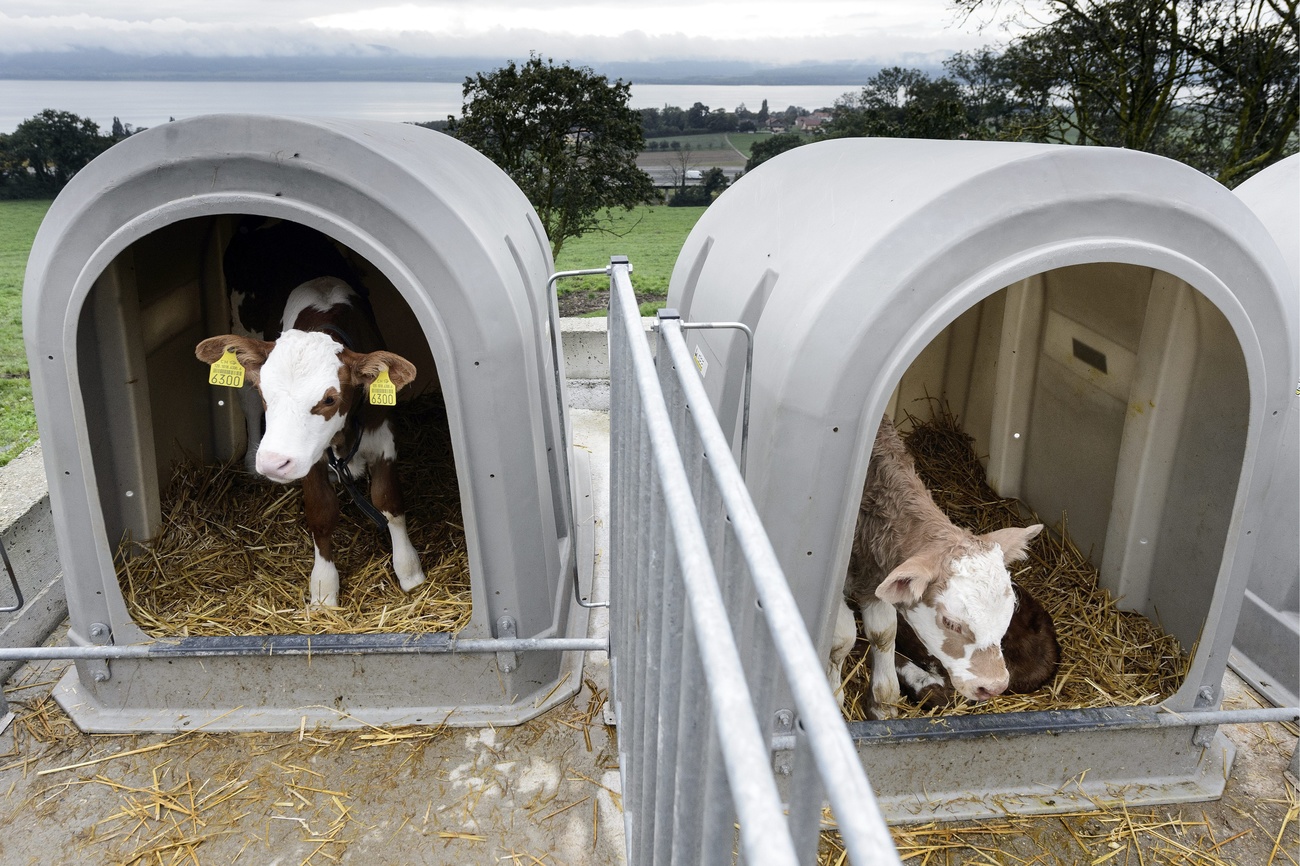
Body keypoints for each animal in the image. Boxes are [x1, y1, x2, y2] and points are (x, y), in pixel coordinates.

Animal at [195, 219, 423, 603]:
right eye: (268, 392)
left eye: (330, 399)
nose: (273, 462)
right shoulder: (309, 460)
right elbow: (320, 512)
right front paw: (324, 588)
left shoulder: (384, 436)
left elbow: (388, 502)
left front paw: (410, 573)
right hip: (242, 323)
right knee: (244, 399)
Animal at [832, 416, 1055, 717]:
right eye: (951, 622)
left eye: (1009, 615)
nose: (994, 686)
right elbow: (842, 637)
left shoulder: (874, 579)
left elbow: (883, 632)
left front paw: (883, 704)